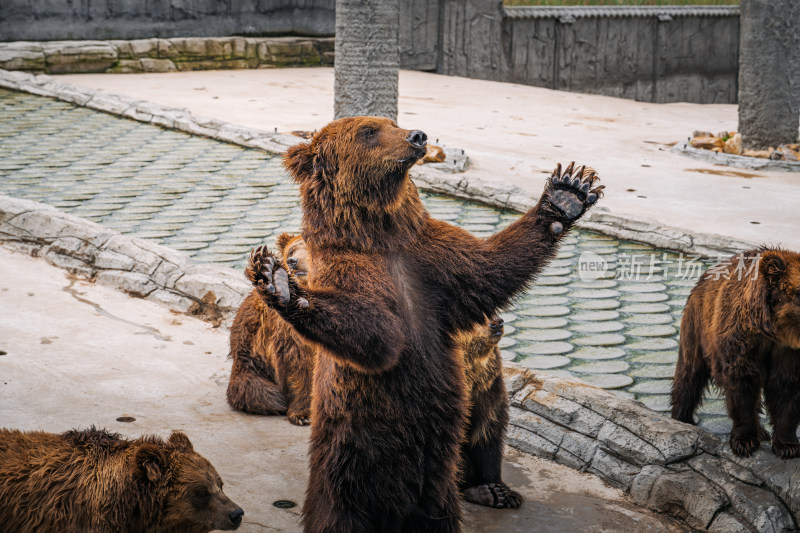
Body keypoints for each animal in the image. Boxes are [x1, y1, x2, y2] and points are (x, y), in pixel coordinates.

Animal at [228, 232, 316, 424]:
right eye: (292, 249)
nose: (292, 261)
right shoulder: (289, 333)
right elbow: (301, 365)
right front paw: (303, 414)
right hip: (251, 356)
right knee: (261, 393)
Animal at [247, 117, 604, 532]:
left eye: (392, 122)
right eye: (369, 130)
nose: (417, 136)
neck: (380, 234)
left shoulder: (432, 255)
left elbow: (491, 267)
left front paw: (568, 193)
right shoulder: (350, 268)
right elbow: (375, 333)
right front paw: (280, 282)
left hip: (438, 474)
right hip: (350, 449)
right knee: (339, 508)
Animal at [668, 246, 800, 458]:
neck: (772, 330)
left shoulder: (788, 351)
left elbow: (786, 386)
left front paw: (787, 446)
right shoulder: (741, 338)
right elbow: (742, 385)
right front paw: (744, 442)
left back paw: (761, 431)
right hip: (697, 326)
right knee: (689, 374)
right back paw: (682, 418)